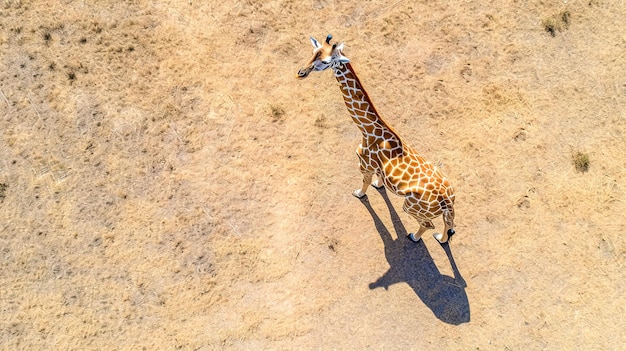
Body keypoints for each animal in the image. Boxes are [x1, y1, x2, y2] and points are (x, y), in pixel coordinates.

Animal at [294, 35, 456, 245]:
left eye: (326, 62)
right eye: (313, 52)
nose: (300, 73)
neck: (367, 129)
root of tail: (448, 200)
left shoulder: (365, 165)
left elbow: (364, 185)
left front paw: (358, 193)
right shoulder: (377, 167)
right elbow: (379, 181)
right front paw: (378, 185)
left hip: (412, 207)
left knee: (428, 225)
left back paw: (414, 237)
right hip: (442, 210)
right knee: (448, 224)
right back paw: (441, 239)